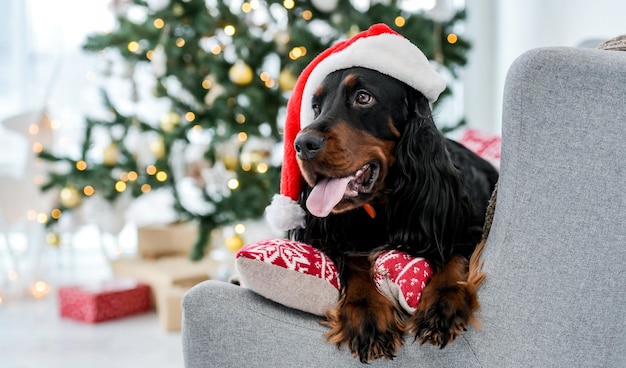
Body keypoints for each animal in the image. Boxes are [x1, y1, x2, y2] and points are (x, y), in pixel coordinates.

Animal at [288, 67, 498, 362]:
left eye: (363, 97)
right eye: (316, 107)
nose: (302, 144)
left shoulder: (466, 226)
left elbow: (455, 253)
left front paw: (442, 302)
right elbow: (352, 263)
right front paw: (367, 313)